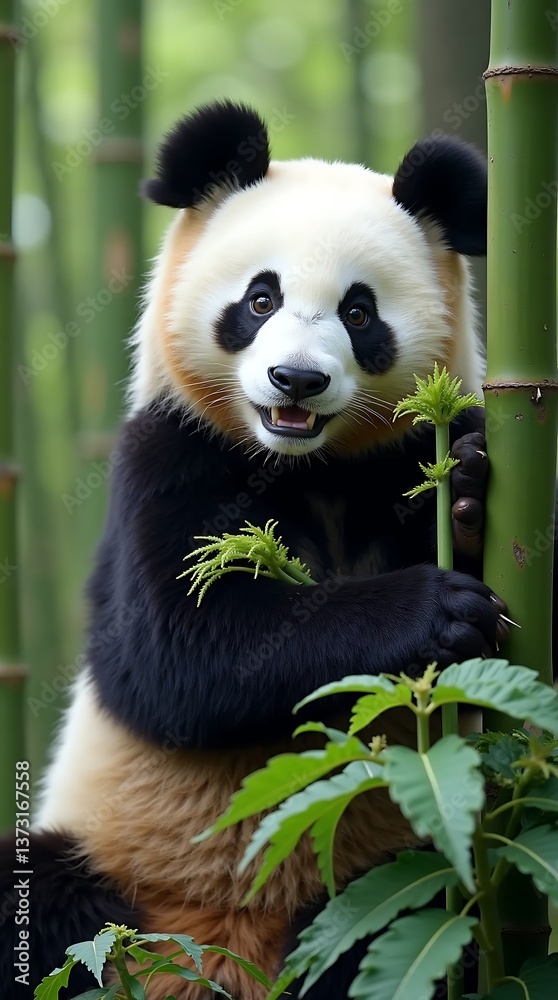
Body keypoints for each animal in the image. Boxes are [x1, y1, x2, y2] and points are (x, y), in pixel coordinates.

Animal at [1, 101, 513, 1000]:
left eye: (358, 313)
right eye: (260, 297)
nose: (296, 381)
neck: (310, 464)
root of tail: (219, 962)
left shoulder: (395, 456)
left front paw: (468, 490)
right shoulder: (169, 453)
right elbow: (178, 649)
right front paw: (434, 609)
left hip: (388, 873)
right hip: (111, 864)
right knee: (38, 898)